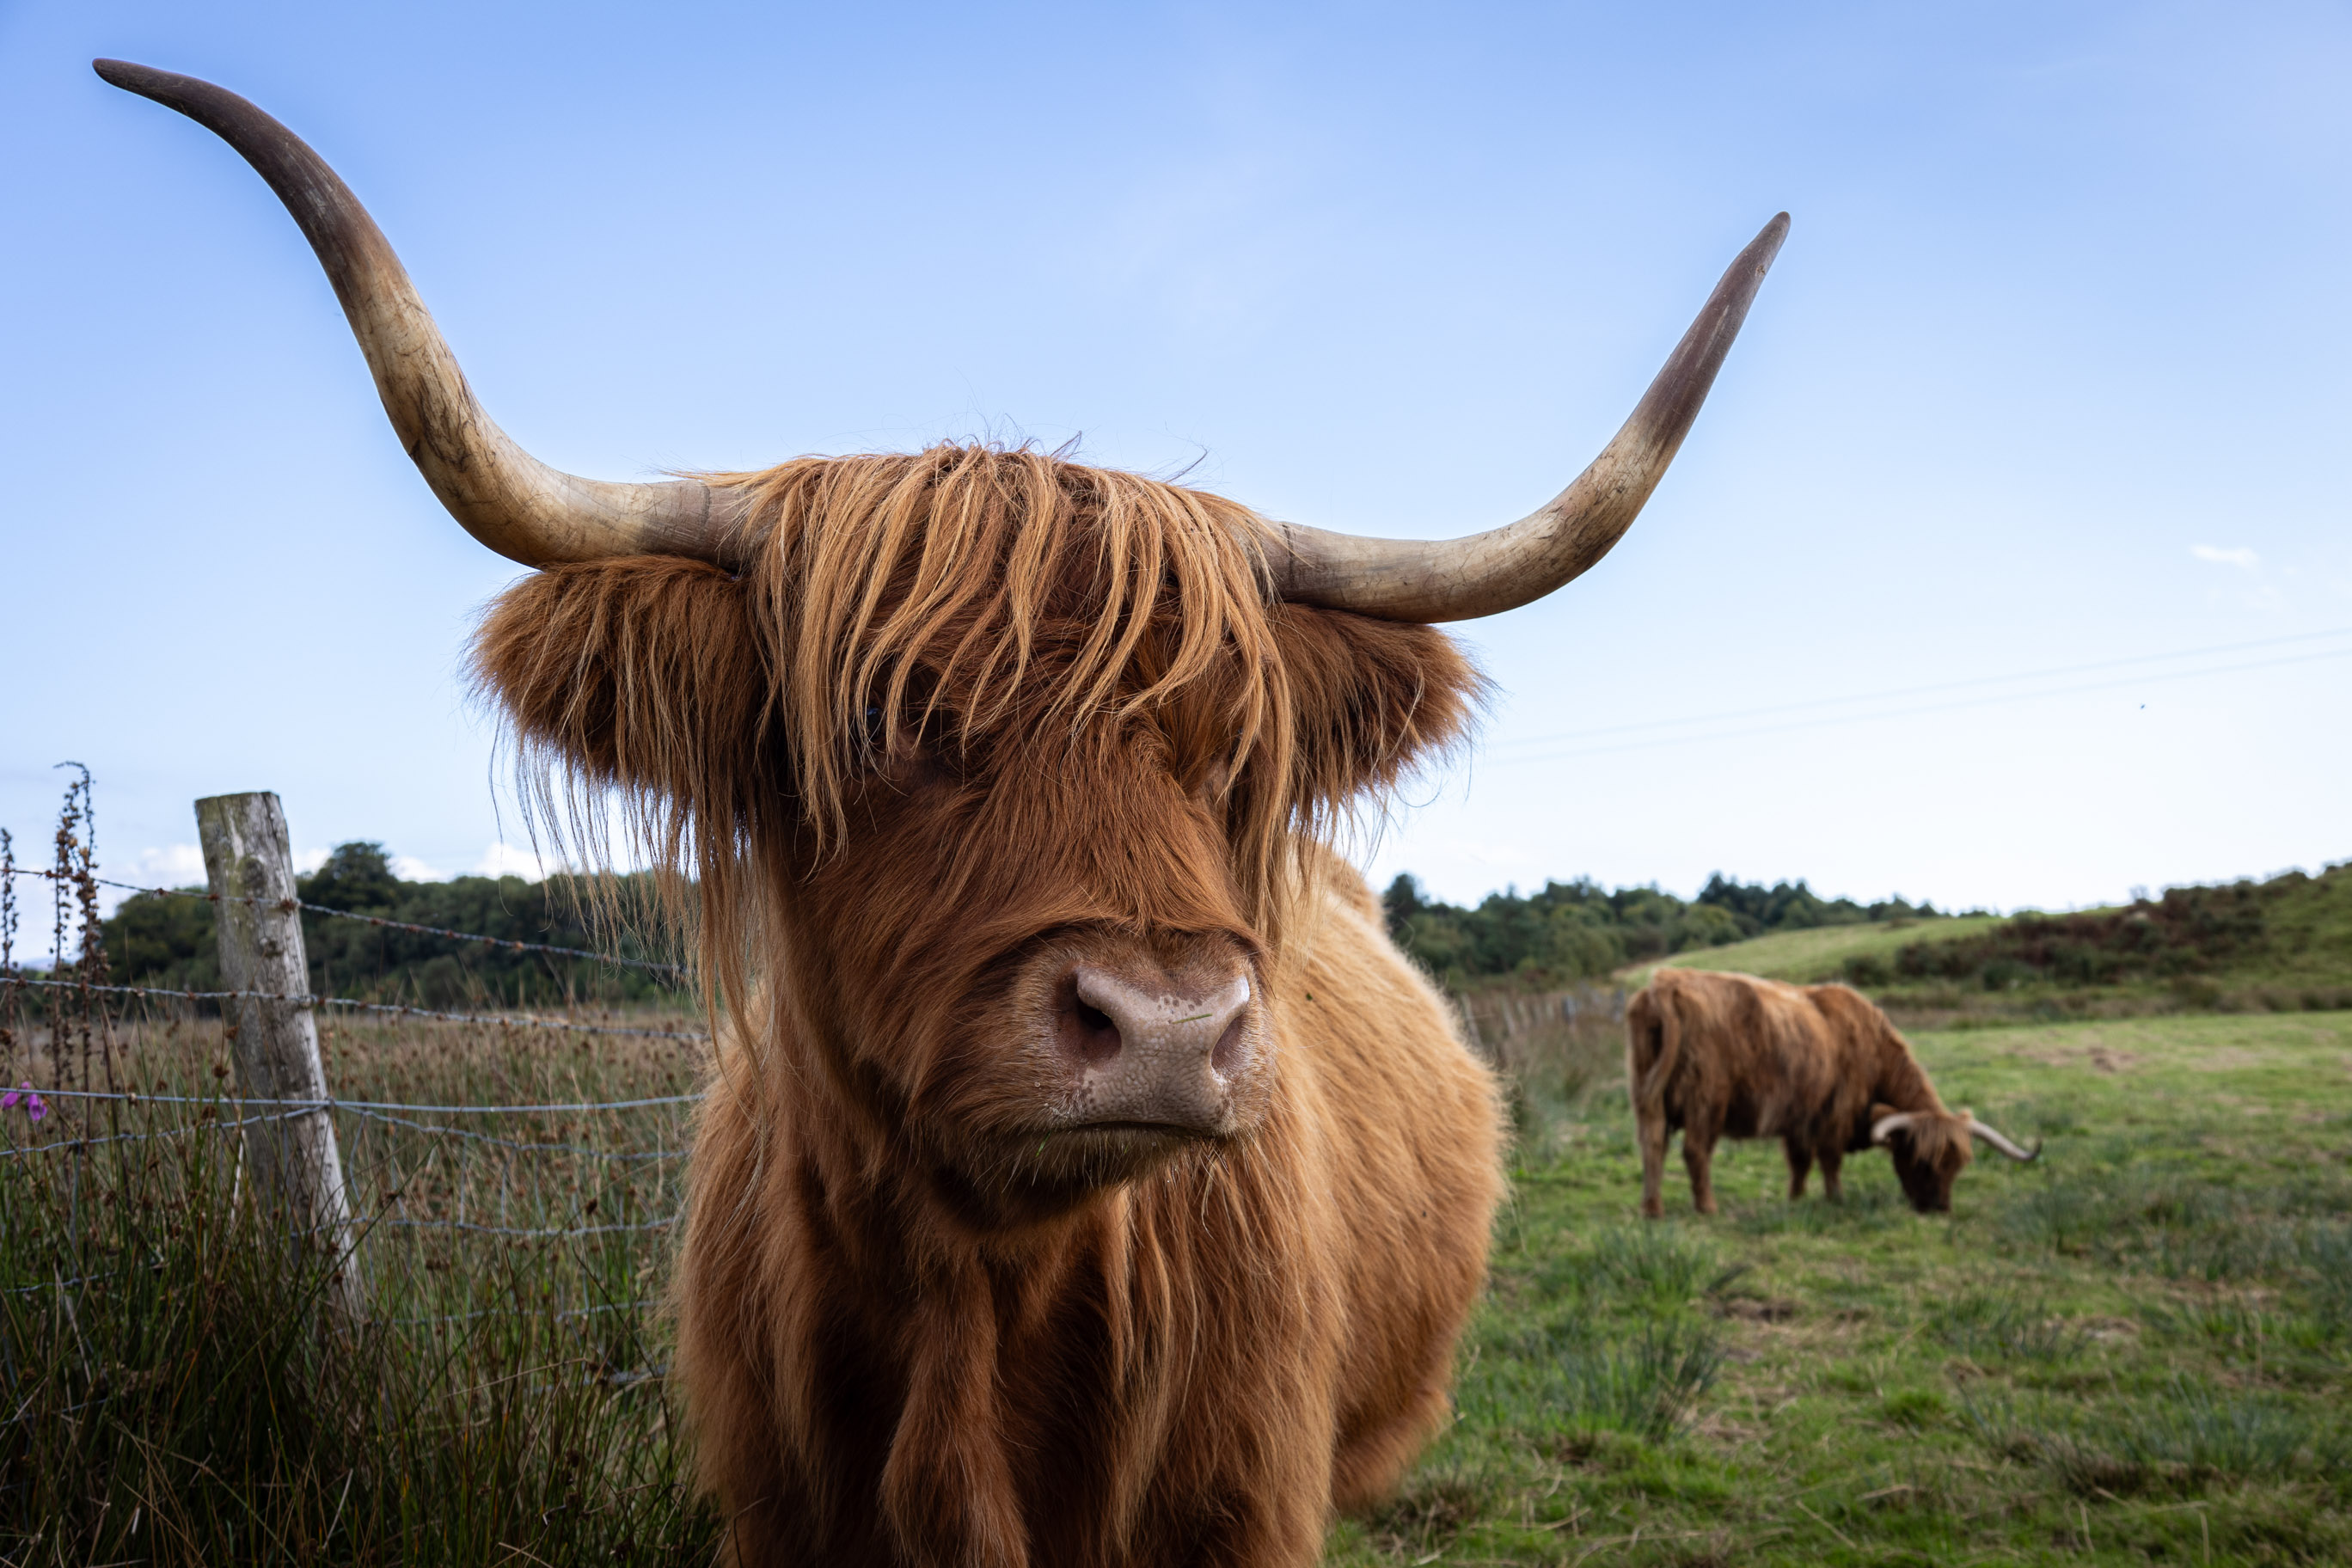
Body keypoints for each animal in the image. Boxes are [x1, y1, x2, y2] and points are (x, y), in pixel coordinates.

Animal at [1626, 967, 2039, 1219]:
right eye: (1923, 1162)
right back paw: (1707, 1207)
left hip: (1648, 1098)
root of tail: (1666, 982)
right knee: (1696, 1151)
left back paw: (1652, 1209)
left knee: (1652, 1145)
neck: (1874, 1051)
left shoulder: (1798, 1119)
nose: (1939, 1208)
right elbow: (1829, 1160)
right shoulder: (1835, 1113)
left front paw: (1795, 1200)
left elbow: (1799, 1163)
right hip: (1707, 1100)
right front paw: (1836, 1199)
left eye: (1958, 1165)